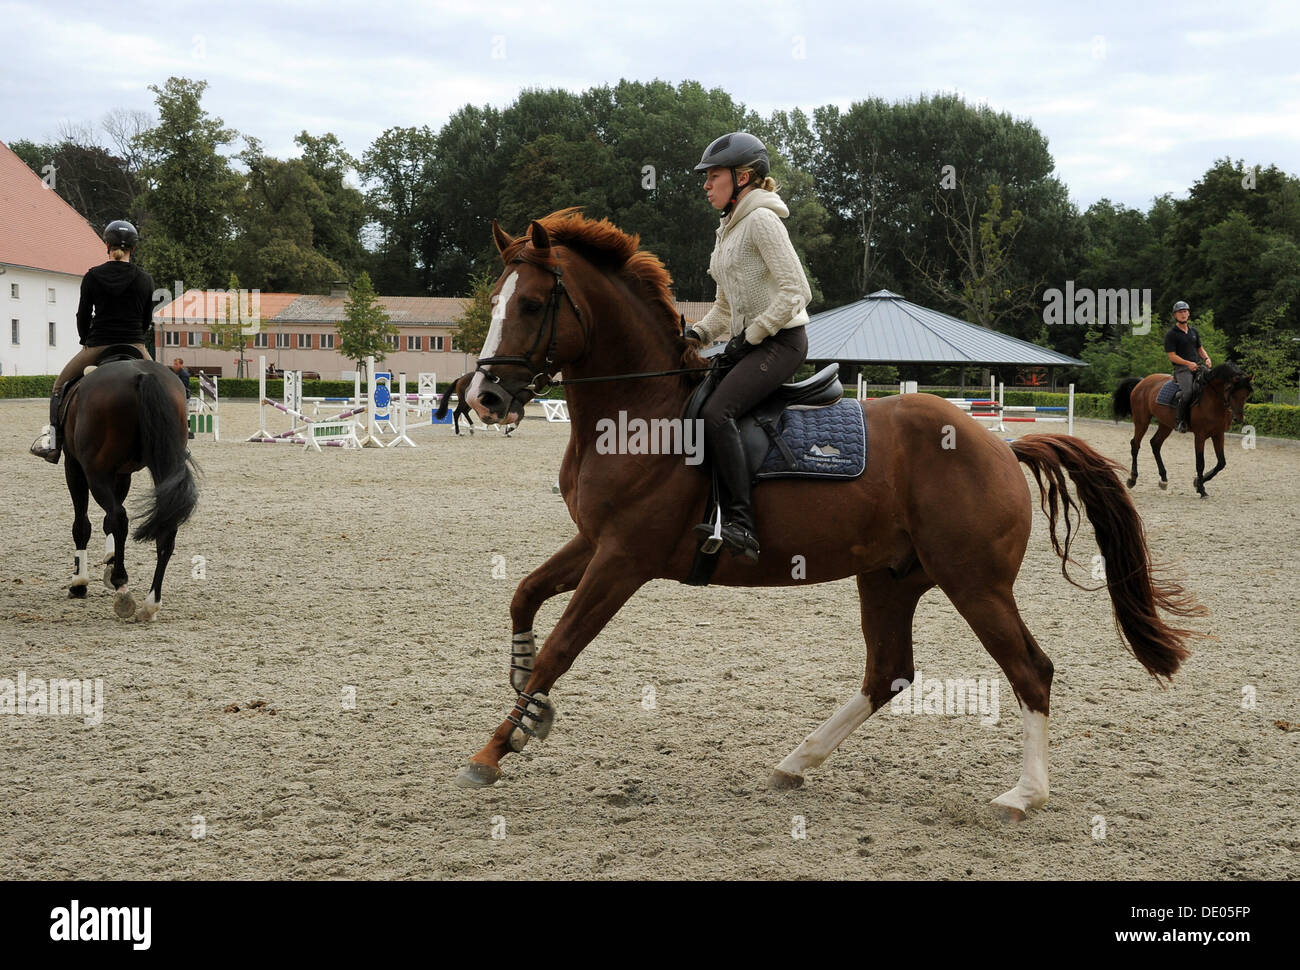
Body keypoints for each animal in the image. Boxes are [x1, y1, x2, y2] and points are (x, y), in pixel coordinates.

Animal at [62, 356, 196, 618]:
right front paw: (111, 557)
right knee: (165, 526)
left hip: (95, 472)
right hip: (164, 468)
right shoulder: (123, 473)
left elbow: (82, 525)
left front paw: (79, 582)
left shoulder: (74, 466)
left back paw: (122, 586)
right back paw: (151, 603)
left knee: (118, 517)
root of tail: (141, 375)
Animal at [454, 209, 1196, 816]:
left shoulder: (623, 558)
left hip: (974, 582)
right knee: (888, 672)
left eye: (529, 303)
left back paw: (1024, 794)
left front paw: (495, 748)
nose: (485, 396)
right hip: (892, 578)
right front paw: (524, 696)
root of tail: (1001, 445)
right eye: (494, 302)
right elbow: (525, 597)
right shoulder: (595, 542)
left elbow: (562, 646)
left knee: (1030, 669)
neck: (641, 412)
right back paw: (796, 761)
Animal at [1112, 364, 1253, 499]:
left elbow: (1221, 462)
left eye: (1246, 394)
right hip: (1142, 421)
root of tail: (1142, 381)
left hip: (1165, 424)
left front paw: (1197, 482)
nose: (1238, 418)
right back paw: (1132, 479)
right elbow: (1200, 463)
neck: (1213, 399)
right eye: (1230, 389)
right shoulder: (1200, 435)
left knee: (1155, 444)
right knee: (1135, 444)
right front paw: (1201, 490)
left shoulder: (1218, 434)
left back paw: (1163, 479)